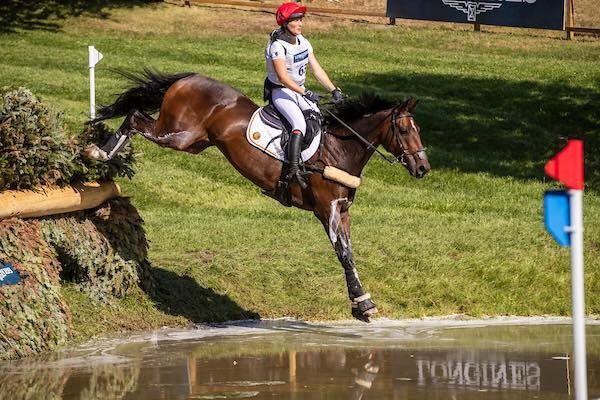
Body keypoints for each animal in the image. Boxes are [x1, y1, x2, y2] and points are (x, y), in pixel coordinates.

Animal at [85, 69, 432, 322]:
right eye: (404, 131)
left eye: (419, 130)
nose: (423, 167)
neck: (338, 149)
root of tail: (189, 77)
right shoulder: (328, 209)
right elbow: (344, 255)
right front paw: (363, 305)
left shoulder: (342, 211)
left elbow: (349, 254)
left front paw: (362, 300)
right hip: (177, 135)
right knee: (134, 117)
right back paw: (99, 152)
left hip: (195, 142)